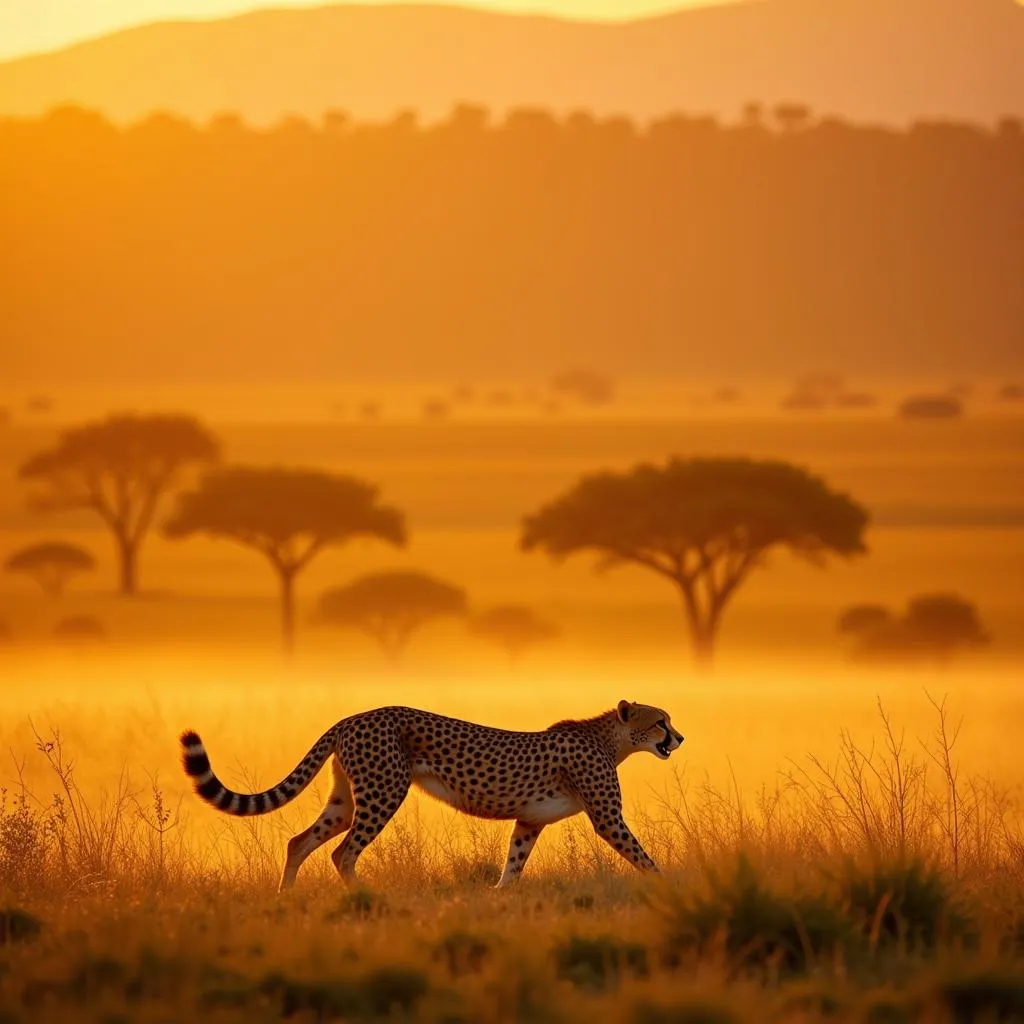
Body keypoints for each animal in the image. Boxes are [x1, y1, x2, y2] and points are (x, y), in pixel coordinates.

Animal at [180, 704, 684, 888]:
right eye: (660, 720)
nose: (678, 738)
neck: (611, 739)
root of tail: (352, 717)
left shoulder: (529, 820)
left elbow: (514, 863)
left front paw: (499, 898)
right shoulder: (608, 818)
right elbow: (642, 856)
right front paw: (669, 886)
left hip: (345, 800)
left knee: (299, 841)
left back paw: (286, 900)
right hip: (384, 791)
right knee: (343, 853)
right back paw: (365, 901)